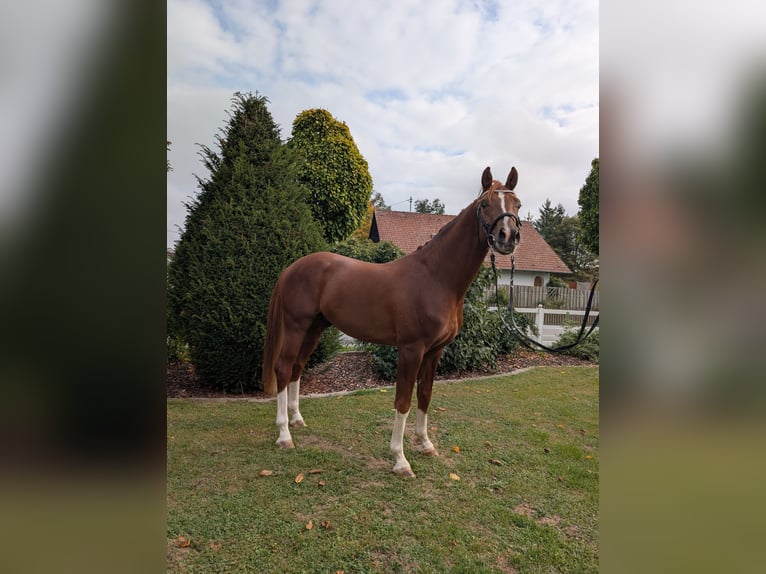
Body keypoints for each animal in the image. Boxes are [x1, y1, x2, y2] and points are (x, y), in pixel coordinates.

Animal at [262, 166, 522, 477]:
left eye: (517, 204)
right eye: (485, 204)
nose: (508, 236)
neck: (436, 278)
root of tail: (292, 268)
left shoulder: (435, 351)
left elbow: (425, 395)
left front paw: (425, 444)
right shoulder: (411, 349)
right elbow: (403, 401)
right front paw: (400, 459)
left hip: (315, 327)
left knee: (297, 368)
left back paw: (297, 420)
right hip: (296, 325)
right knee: (283, 368)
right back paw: (284, 434)